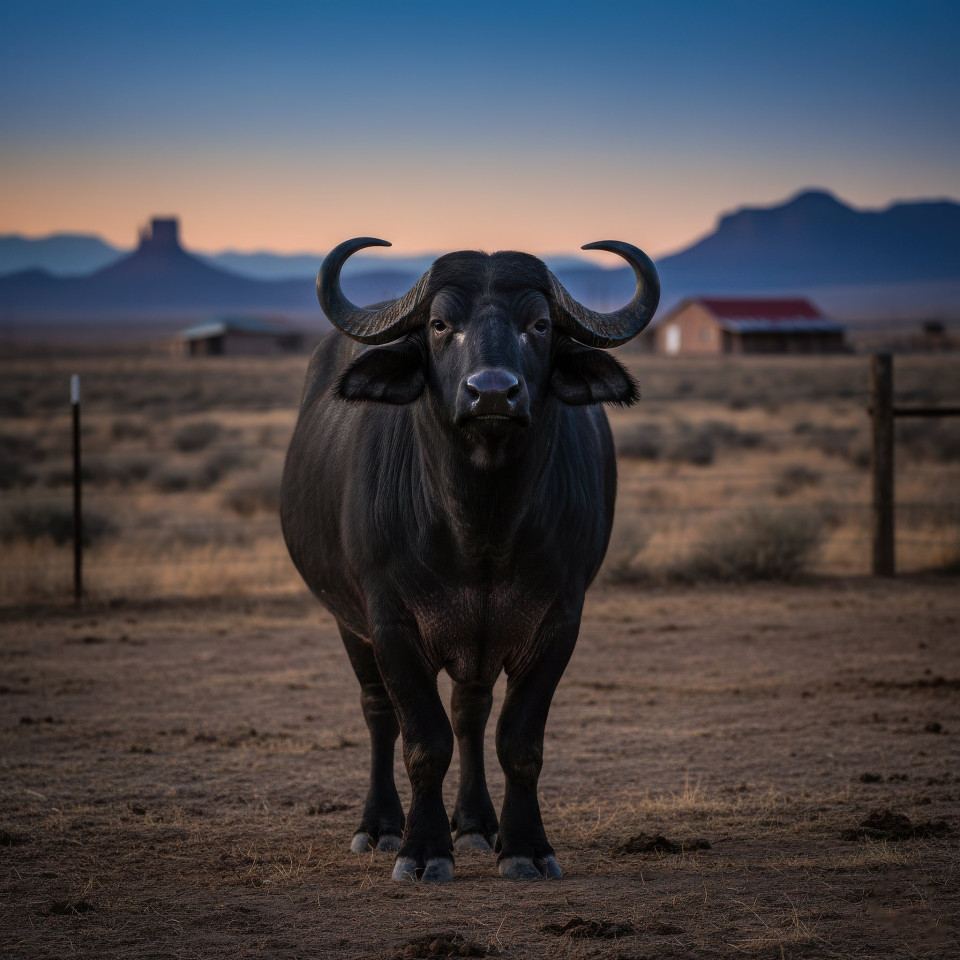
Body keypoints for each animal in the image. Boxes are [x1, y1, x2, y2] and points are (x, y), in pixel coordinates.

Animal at [280, 237, 659, 881]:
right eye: (439, 325)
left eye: (539, 324)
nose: (493, 393)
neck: (481, 526)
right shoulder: (389, 622)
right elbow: (423, 741)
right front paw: (422, 850)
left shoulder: (559, 621)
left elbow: (518, 740)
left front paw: (525, 846)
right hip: (349, 623)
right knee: (379, 713)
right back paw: (380, 825)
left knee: (470, 714)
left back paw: (478, 823)